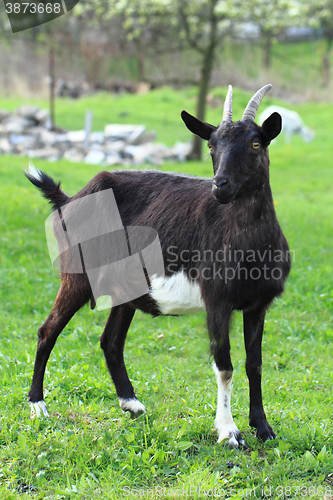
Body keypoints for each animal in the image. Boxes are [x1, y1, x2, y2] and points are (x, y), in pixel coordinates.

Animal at [25, 84, 288, 448]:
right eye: (211, 144)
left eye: (255, 143)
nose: (220, 185)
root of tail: (70, 199)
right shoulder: (217, 301)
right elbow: (224, 365)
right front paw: (229, 432)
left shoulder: (258, 305)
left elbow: (255, 364)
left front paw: (262, 427)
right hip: (77, 275)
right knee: (47, 330)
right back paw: (38, 405)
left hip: (125, 289)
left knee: (110, 341)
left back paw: (131, 404)